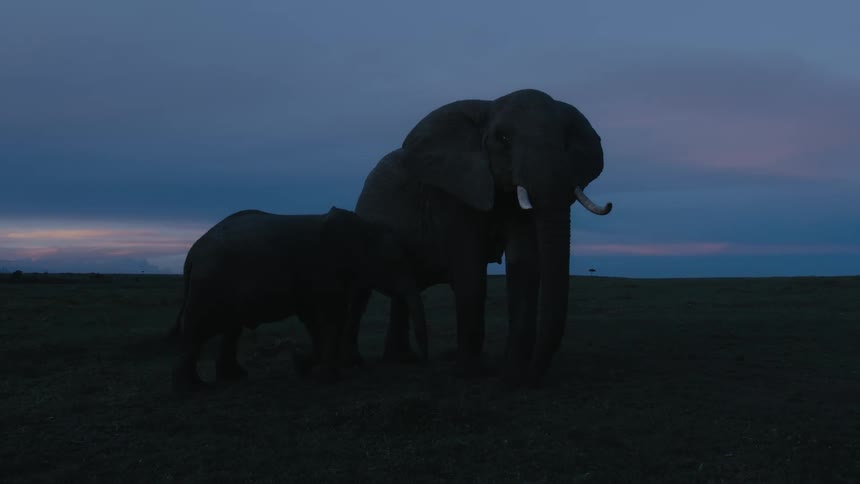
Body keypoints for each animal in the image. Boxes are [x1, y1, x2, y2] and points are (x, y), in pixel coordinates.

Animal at [170, 207, 428, 391]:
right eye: (393, 264)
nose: (422, 361)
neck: (359, 226)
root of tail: (192, 255)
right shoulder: (320, 269)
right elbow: (327, 318)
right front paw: (325, 377)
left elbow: (318, 320)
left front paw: (303, 365)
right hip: (209, 286)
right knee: (198, 330)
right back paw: (191, 388)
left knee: (230, 329)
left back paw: (232, 377)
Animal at [347, 89, 611, 386]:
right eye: (503, 138)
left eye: (566, 139)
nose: (530, 377)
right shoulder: (453, 191)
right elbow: (470, 272)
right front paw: (471, 374)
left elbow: (523, 265)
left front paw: (511, 375)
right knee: (364, 290)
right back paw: (364, 362)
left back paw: (402, 360)